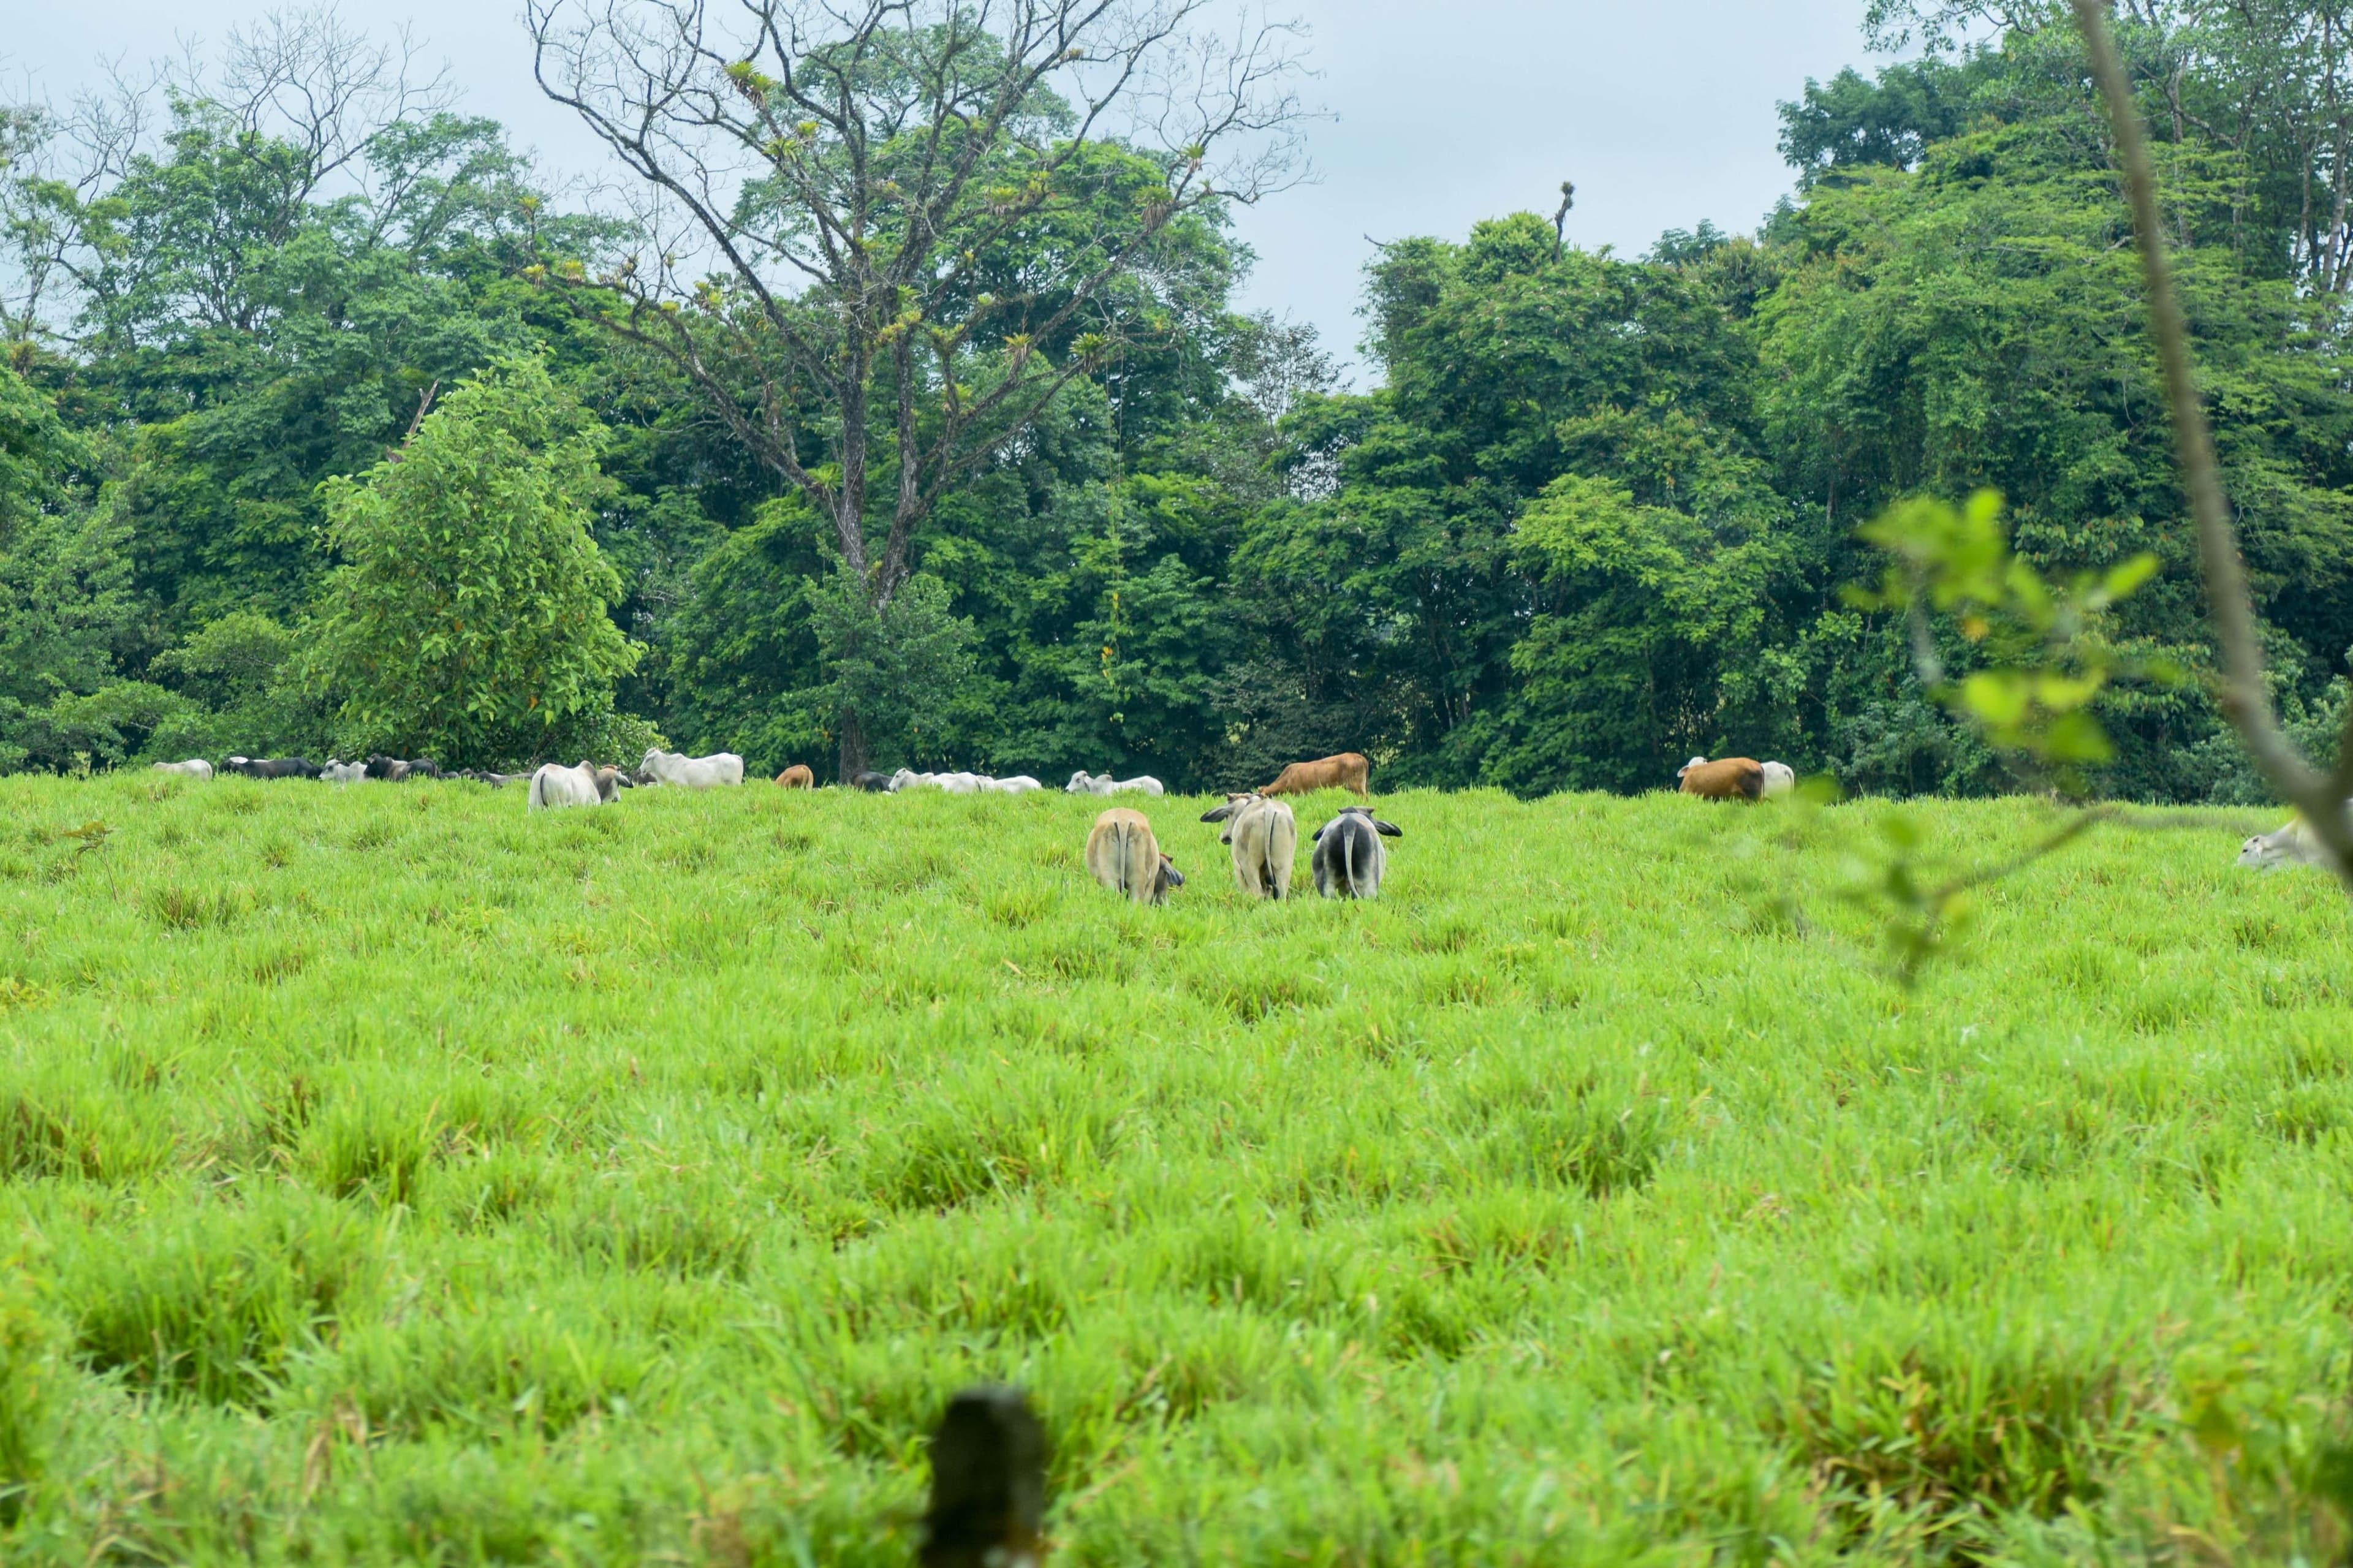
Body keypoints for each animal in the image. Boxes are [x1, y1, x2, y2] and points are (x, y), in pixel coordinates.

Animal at [1202, 792, 1297, 899]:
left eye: (1226, 817)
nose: (1223, 836)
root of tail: (1269, 808)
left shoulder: (1238, 870)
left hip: (1249, 866)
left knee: (1258, 894)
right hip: (1284, 865)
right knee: (1281, 894)